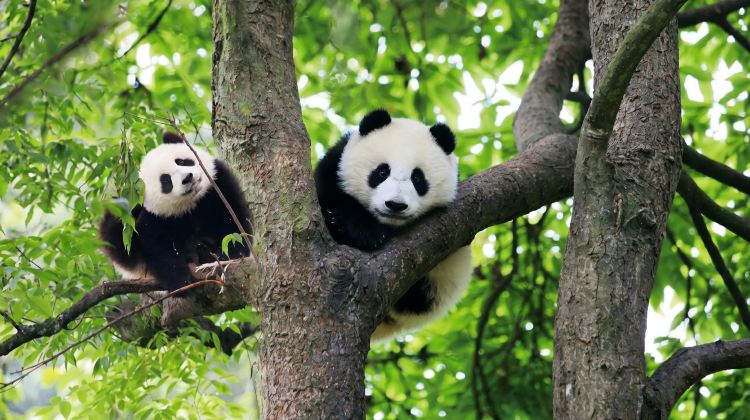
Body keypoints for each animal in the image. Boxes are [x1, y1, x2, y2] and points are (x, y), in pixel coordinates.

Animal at [99, 132, 252, 291]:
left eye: (181, 162)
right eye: (166, 180)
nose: (187, 178)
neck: (191, 204)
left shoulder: (218, 185)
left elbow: (233, 221)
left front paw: (232, 255)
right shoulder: (156, 217)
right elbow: (160, 249)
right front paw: (182, 282)